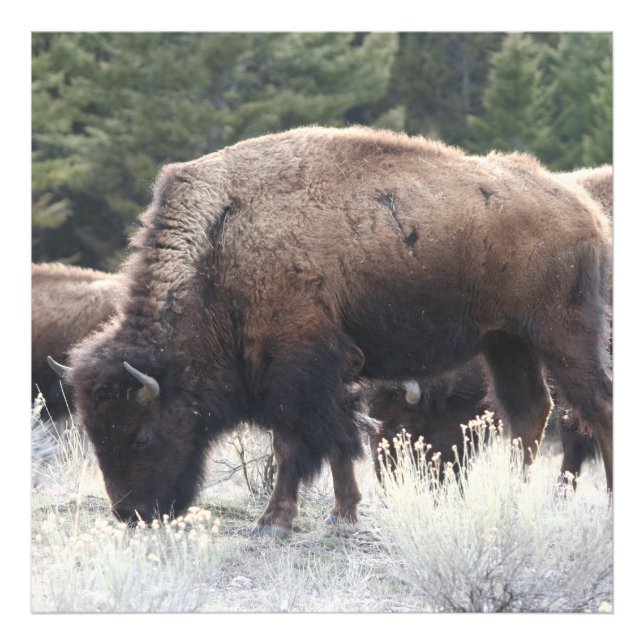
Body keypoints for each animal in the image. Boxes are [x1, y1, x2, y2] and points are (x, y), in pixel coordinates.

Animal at [51, 126, 612, 536]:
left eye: (143, 434)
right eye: (95, 433)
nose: (133, 514)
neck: (223, 245)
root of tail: (583, 209)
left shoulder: (296, 368)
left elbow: (293, 445)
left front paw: (273, 522)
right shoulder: (333, 375)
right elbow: (341, 441)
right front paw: (342, 515)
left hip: (563, 336)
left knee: (595, 407)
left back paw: (605, 499)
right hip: (505, 343)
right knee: (529, 412)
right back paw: (512, 499)